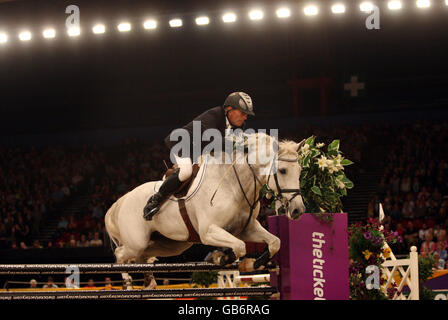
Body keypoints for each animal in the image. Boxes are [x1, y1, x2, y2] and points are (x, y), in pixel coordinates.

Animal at [105, 132, 306, 288]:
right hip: (136, 242)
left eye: (300, 170)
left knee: (143, 256)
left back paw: (149, 282)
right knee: (120, 255)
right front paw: (221, 258)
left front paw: (254, 263)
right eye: (282, 170)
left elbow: (274, 242)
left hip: (169, 245)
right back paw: (128, 283)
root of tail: (121, 201)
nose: (298, 210)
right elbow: (239, 247)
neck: (233, 185)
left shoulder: (246, 229)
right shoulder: (208, 231)